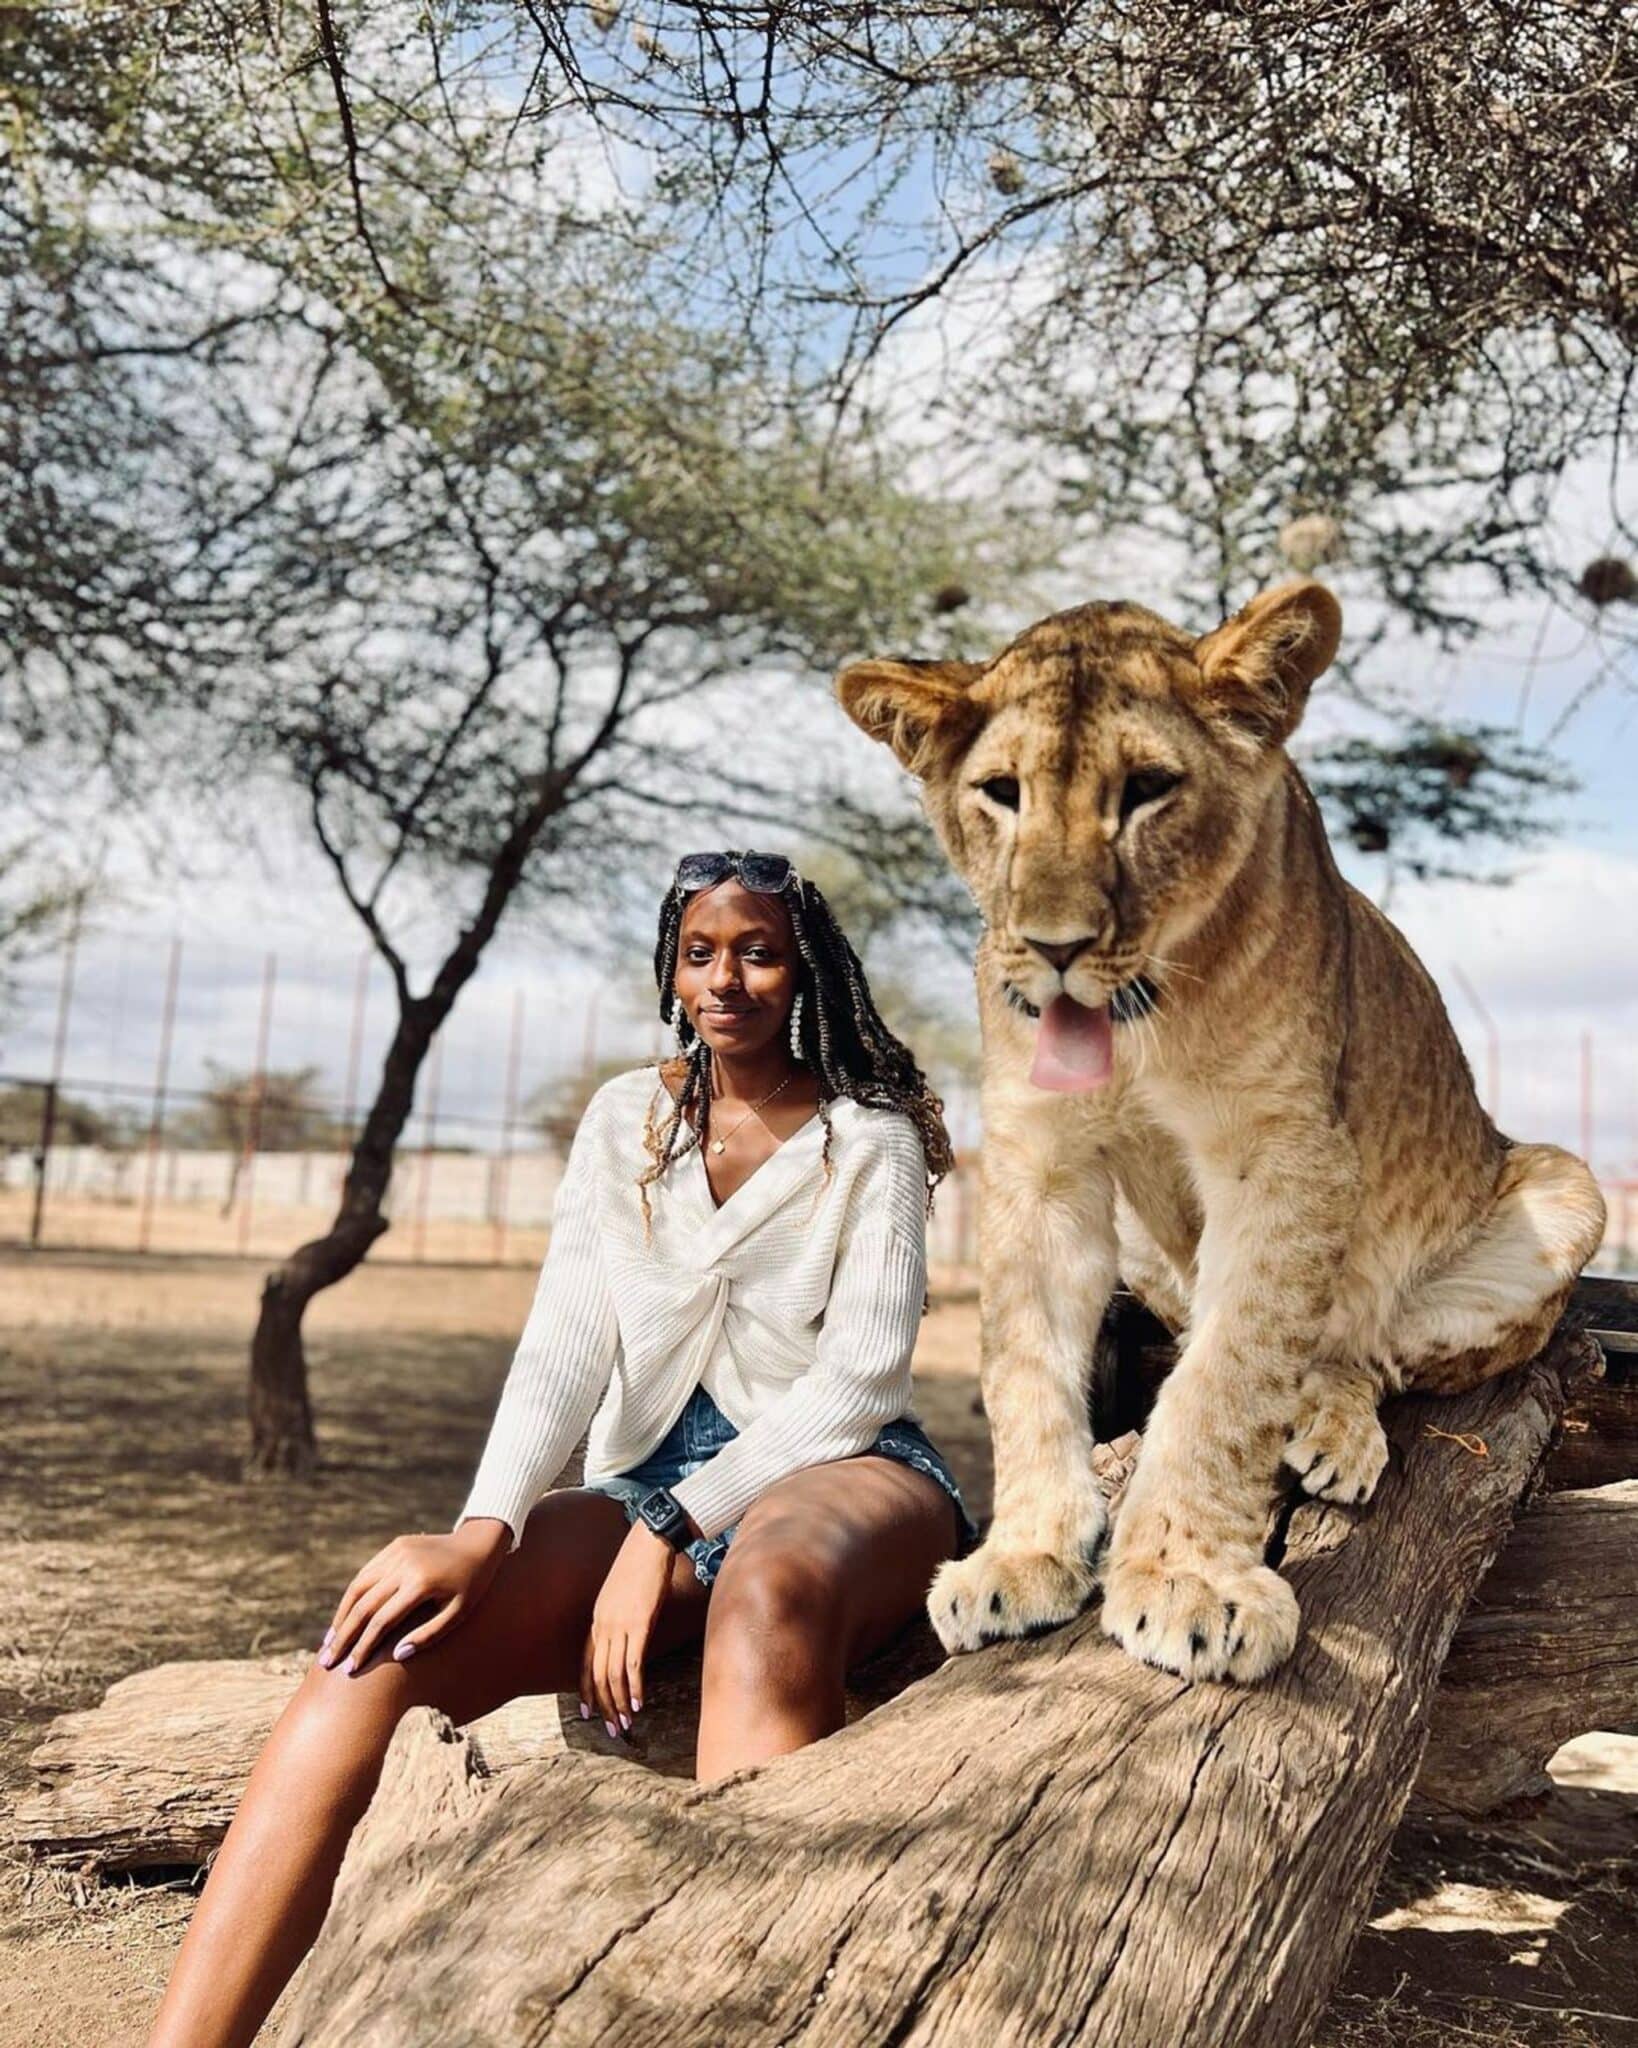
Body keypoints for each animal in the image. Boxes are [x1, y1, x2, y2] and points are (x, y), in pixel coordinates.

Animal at [837, 581, 1606, 1683]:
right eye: (1001, 792)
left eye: (1150, 788)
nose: (1054, 947)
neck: (1140, 1024)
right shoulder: (1041, 1164)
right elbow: (1022, 1369)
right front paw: (1023, 1553)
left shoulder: (1287, 1156)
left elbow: (1233, 1376)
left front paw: (1189, 1580)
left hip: (1560, 1190)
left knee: (1363, 1349)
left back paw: (1333, 1427)